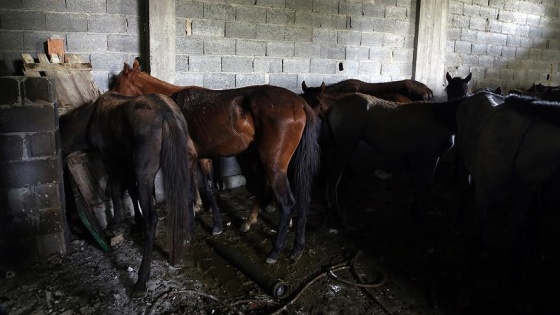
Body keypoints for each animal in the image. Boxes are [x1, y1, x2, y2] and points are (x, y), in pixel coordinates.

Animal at [112, 59, 320, 264]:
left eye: (117, 82)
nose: (110, 97)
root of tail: (300, 103)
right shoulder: (204, 159)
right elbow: (210, 191)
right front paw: (217, 226)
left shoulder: (188, 159)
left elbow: (189, 193)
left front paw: (189, 230)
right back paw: (295, 246)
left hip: (274, 165)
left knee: (287, 203)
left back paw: (275, 251)